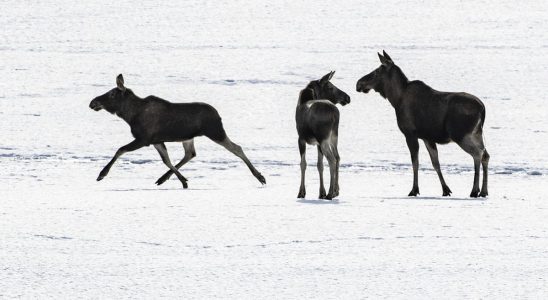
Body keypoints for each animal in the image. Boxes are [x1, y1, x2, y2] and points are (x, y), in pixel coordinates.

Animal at [89, 74, 266, 189]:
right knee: (190, 154)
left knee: (236, 148)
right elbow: (166, 160)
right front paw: (183, 181)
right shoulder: (157, 141)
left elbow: (120, 150)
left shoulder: (144, 139)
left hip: (215, 132)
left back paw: (260, 177)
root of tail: (218, 115)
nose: (93, 102)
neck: (129, 115)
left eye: (112, 93)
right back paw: (163, 178)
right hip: (188, 137)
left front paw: (102, 174)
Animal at [296, 71, 352, 200]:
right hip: (333, 136)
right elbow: (319, 165)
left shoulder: (301, 138)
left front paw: (301, 192)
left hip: (324, 139)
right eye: (330, 87)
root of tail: (335, 113)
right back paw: (335, 191)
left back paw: (330, 193)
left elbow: (303, 164)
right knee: (338, 157)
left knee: (332, 160)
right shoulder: (316, 143)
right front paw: (321, 192)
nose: (347, 97)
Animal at [358, 51, 490, 197]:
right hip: (476, 133)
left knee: (477, 154)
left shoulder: (410, 134)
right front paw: (445, 190)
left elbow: (415, 162)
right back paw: (484, 191)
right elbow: (435, 163)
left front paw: (414, 189)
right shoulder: (427, 138)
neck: (396, 99)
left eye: (376, 71)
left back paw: (475, 190)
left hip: (461, 135)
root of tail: (482, 108)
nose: (359, 83)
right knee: (486, 155)